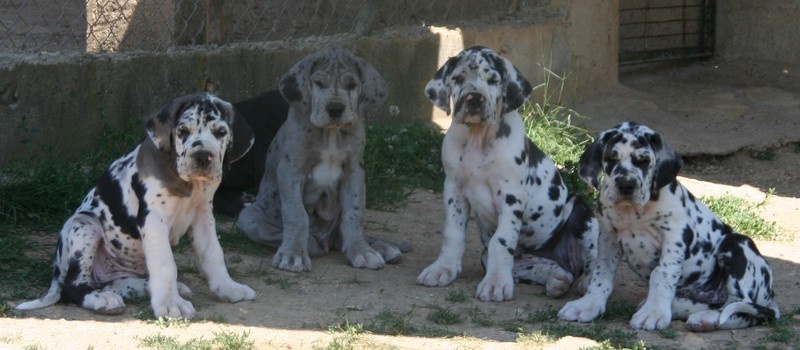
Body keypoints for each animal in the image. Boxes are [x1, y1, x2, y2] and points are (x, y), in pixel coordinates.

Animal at [17, 91, 256, 318]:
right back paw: (102, 299)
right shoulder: (154, 219)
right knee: (73, 287)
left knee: (116, 284)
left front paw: (227, 287)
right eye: (183, 131)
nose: (203, 156)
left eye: (221, 132)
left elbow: (213, 253)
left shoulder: (203, 216)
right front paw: (171, 304)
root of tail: (57, 271)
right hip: (84, 225)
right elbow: (165, 264)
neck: (189, 184)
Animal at [234, 46, 404, 270]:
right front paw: (293, 254)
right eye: (319, 83)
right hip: (248, 216)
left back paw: (381, 247)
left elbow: (354, 214)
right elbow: (296, 215)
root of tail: (326, 239)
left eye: (351, 85)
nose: (335, 108)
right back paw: (309, 243)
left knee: (342, 235)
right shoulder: (291, 170)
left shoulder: (354, 170)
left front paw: (362, 251)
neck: (330, 134)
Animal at [416, 46, 596, 302]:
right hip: (517, 259)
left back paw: (586, 281)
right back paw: (557, 280)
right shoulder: (453, 190)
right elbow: (453, 234)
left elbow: (501, 241)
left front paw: (496, 283)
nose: (474, 98)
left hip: (583, 215)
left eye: (493, 80)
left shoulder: (511, 197)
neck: (478, 138)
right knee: (549, 268)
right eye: (458, 78)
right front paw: (443, 268)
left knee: (593, 259)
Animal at [560, 122, 780, 330]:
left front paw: (654, 313)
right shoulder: (608, 236)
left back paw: (705, 319)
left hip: (737, 243)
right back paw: (681, 308)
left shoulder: (674, 237)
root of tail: (769, 295)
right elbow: (601, 273)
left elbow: (661, 275)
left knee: (740, 308)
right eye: (611, 159)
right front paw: (588, 304)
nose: (626, 185)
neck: (635, 212)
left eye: (644, 160)